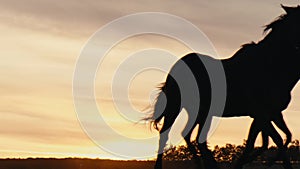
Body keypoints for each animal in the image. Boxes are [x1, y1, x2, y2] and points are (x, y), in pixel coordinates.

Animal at [147, 4, 300, 169]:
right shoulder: (262, 113)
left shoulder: (269, 114)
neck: (271, 66)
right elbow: (275, 140)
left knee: (194, 137)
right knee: (167, 135)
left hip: (202, 112)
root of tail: (175, 67)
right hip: (175, 107)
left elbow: (267, 141)